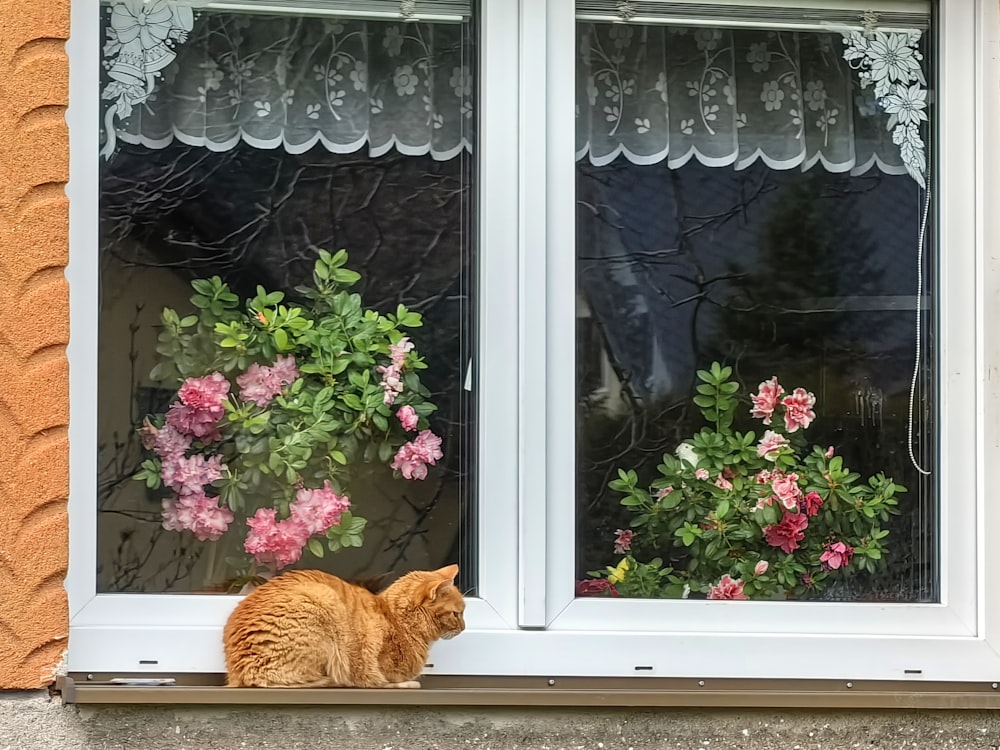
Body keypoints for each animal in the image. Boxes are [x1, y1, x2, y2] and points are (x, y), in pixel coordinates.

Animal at [223, 568, 464, 692]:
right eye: (457, 614)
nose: (464, 627)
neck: (398, 619)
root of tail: (241, 670)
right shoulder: (374, 669)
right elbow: (383, 680)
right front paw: (408, 683)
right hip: (324, 600)